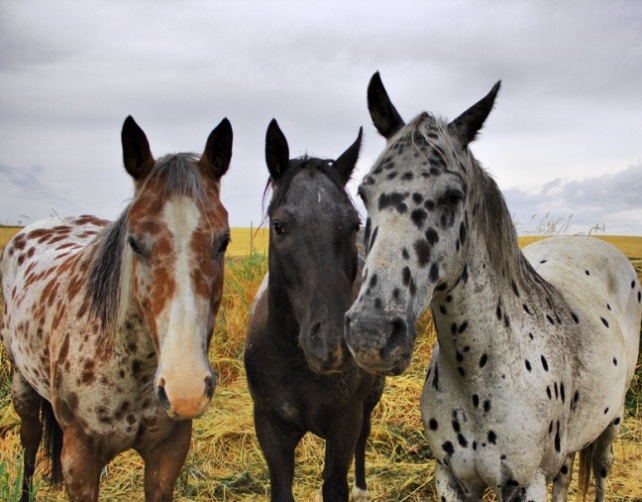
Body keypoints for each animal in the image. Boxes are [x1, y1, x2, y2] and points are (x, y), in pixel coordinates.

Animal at [0, 115, 233, 501]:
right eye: (134, 242)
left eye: (224, 241)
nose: (185, 389)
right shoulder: (80, 461)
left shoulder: (168, 454)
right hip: (22, 384)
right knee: (30, 439)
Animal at [244, 119, 385, 501]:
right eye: (279, 226)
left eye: (353, 225)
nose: (332, 345)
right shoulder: (270, 428)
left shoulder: (345, 423)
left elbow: (335, 483)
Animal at [344, 72, 642, 501]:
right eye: (364, 192)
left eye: (453, 195)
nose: (372, 335)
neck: (480, 374)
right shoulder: (452, 480)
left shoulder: (526, 483)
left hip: (611, 425)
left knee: (601, 473)